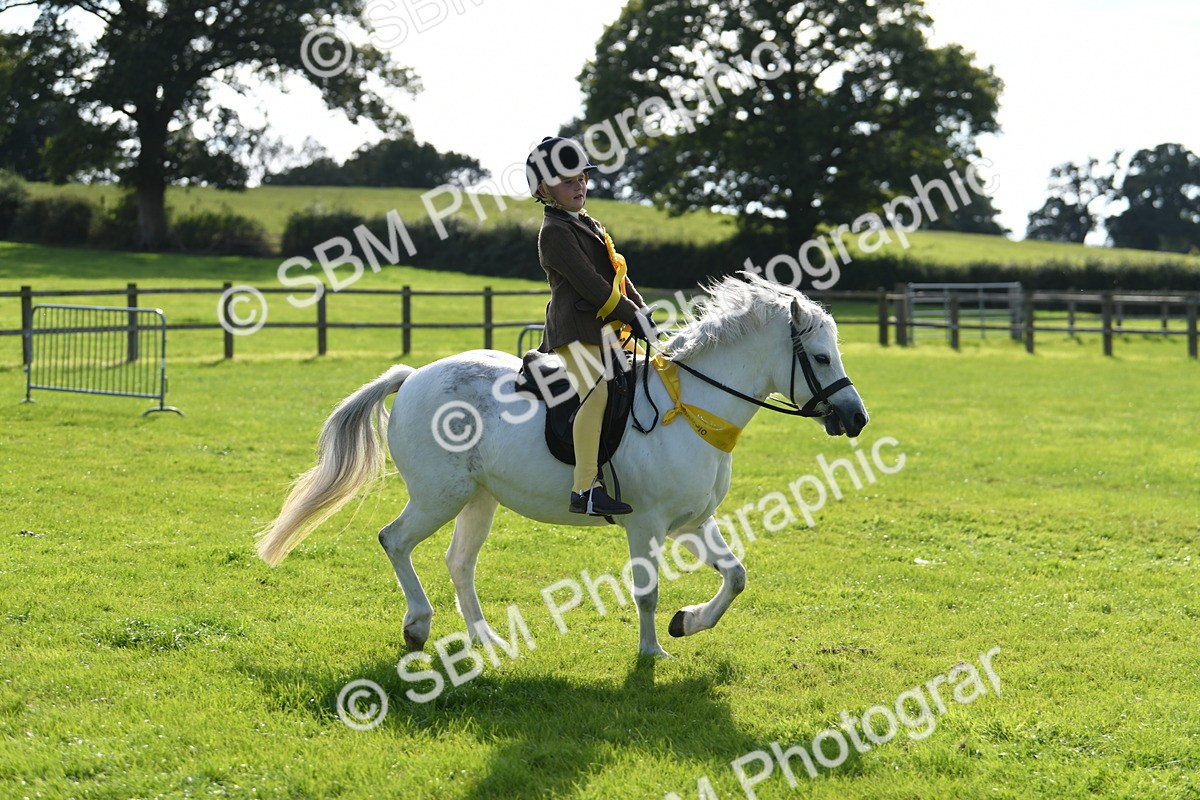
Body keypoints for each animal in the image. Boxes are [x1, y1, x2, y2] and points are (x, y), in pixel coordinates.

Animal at [256, 274, 869, 658]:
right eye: (820, 358)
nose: (857, 418)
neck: (691, 408)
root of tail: (412, 377)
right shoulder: (646, 525)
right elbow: (646, 591)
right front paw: (652, 651)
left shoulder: (693, 522)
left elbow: (736, 575)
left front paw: (687, 622)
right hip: (438, 495)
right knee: (394, 540)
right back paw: (417, 625)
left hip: (478, 499)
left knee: (459, 562)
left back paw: (485, 640)